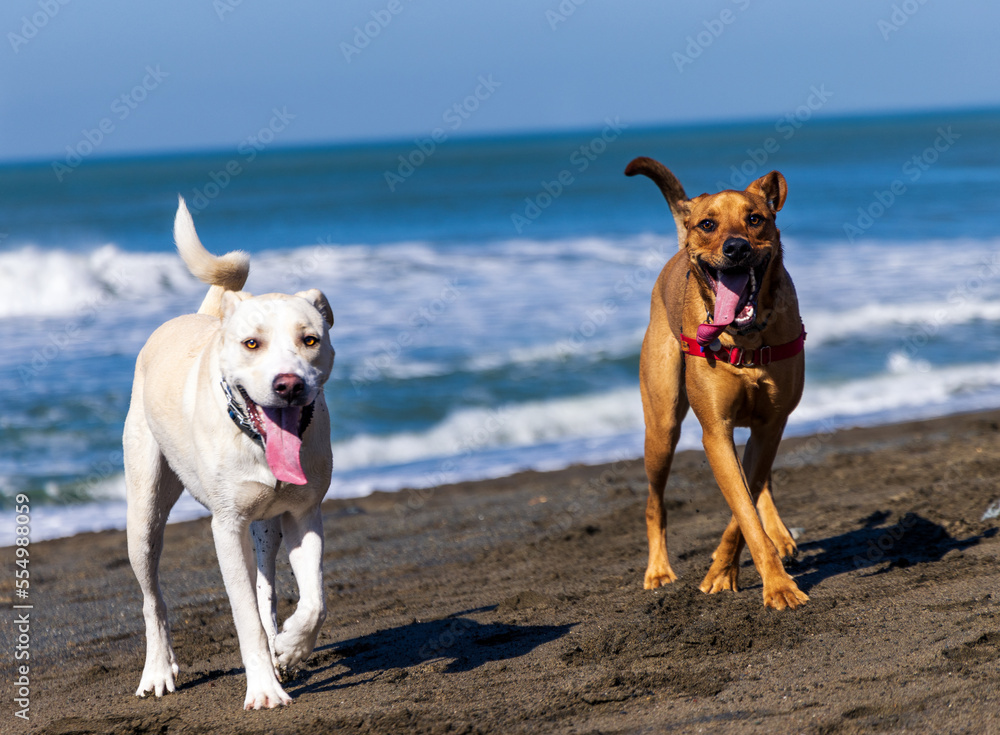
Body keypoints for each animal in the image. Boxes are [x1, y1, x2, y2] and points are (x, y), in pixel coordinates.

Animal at [123, 198, 336, 712]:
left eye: (310, 340)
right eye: (251, 344)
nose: (288, 384)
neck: (256, 441)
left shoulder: (304, 514)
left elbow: (314, 601)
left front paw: (290, 649)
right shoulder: (226, 527)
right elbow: (244, 619)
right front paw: (264, 690)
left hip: (266, 526)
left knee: (266, 585)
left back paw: (280, 646)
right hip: (144, 512)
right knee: (152, 596)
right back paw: (158, 671)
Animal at [628, 158, 808, 612]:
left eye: (755, 219)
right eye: (708, 224)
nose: (736, 248)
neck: (744, 337)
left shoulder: (770, 424)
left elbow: (744, 509)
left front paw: (724, 571)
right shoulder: (716, 432)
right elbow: (743, 509)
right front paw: (774, 585)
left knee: (762, 482)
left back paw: (780, 534)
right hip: (661, 428)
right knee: (654, 504)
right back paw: (658, 570)